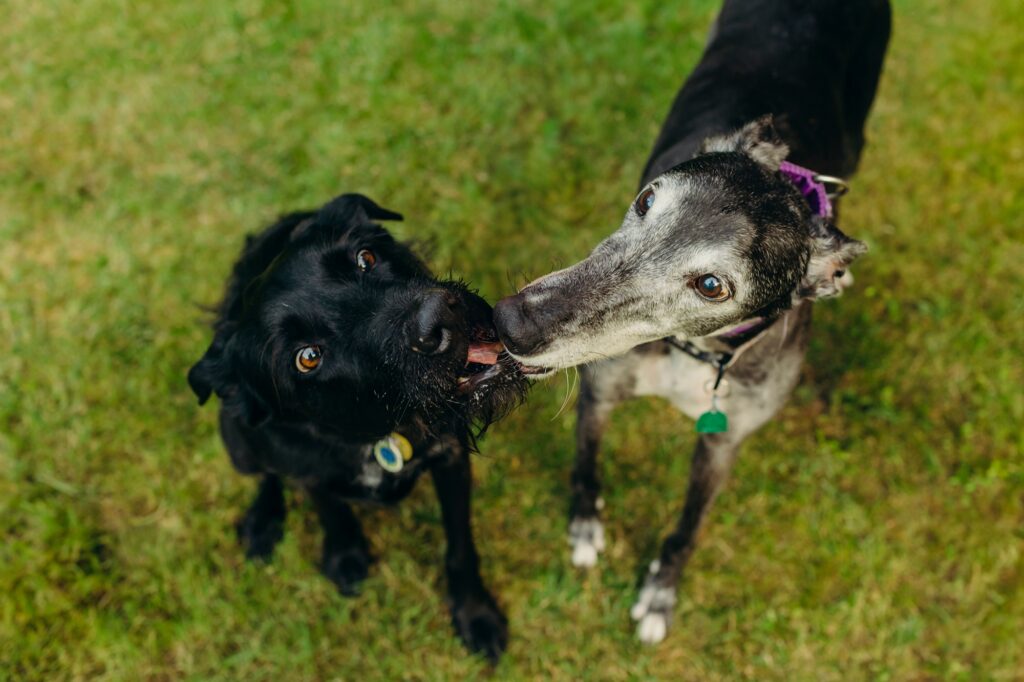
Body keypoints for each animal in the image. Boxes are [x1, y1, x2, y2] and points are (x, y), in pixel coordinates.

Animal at [190, 192, 528, 659]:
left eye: (365, 257)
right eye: (307, 357)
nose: (438, 319)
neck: (377, 435)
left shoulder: (451, 459)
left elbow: (460, 545)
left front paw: (474, 613)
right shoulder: (308, 469)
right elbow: (328, 506)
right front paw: (345, 554)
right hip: (236, 437)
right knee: (265, 475)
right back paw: (263, 520)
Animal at [493, 0, 888, 643]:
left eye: (711, 285)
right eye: (647, 199)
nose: (511, 322)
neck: (691, 352)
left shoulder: (723, 442)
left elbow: (688, 527)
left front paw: (660, 594)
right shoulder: (599, 393)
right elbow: (585, 464)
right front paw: (585, 526)